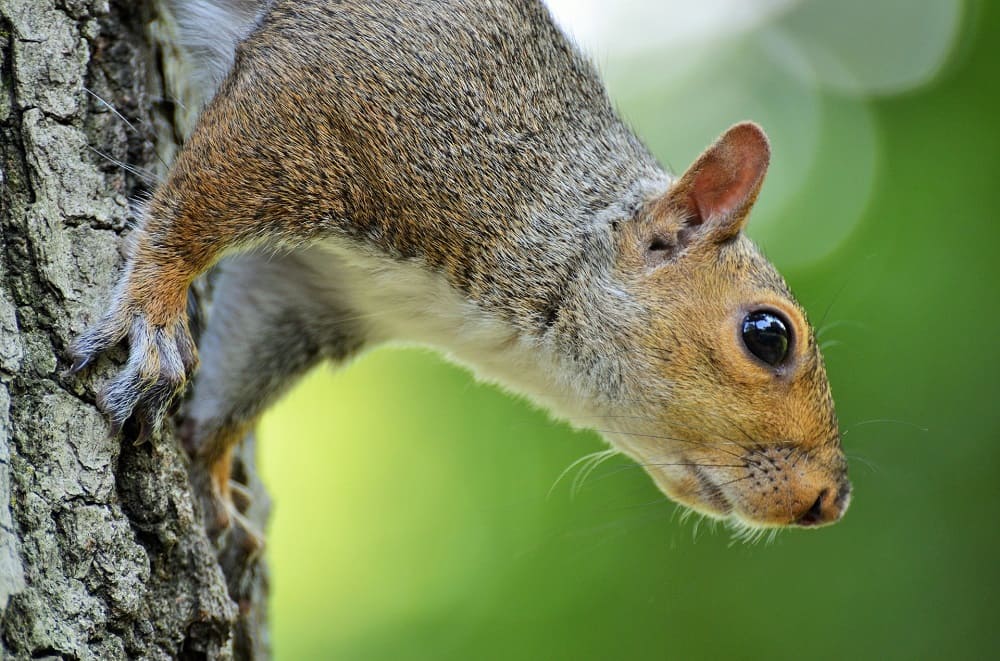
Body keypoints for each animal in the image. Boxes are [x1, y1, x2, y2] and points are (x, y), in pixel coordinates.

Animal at [70, 0, 852, 540]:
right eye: (768, 335)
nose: (831, 500)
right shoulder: (335, 89)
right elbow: (192, 207)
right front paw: (155, 311)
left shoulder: (315, 290)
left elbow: (244, 369)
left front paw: (210, 466)